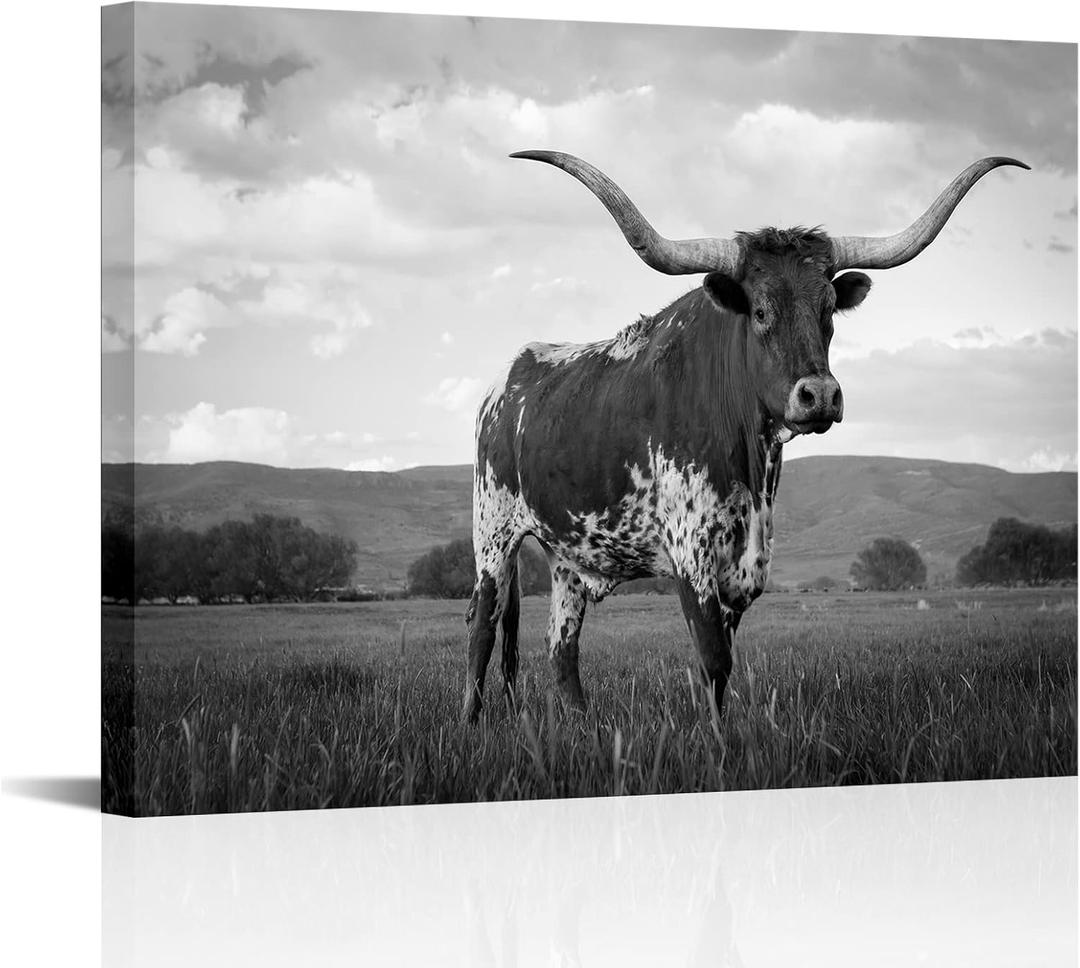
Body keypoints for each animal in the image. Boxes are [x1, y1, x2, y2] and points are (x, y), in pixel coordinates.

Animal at [463, 150, 1027, 723]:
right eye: (759, 311)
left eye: (828, 310)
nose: (820, 395)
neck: (750, 463)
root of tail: (504, 380)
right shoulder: (690, 548)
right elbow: (713, 657)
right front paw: (717, 737)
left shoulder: (746, 562)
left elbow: (723, 662)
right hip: (493, 534)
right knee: (482, 631)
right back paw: (471, 724)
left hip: (569, 557)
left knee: (562, 646)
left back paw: (582, 724)